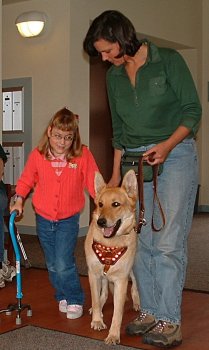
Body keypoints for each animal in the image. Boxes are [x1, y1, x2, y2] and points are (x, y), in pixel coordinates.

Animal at [84, 170, 140, 344]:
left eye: (116, 204)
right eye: (100, 204)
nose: (101, 222)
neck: (110, 244)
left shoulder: (121, 280)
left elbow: (118, 313)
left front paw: (114, 335)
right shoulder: (93, 274)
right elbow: (96, 299)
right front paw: (97, 320)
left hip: (132, 268)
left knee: (135, 282)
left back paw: (136, 300)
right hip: (103, 276)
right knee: (103, 294)